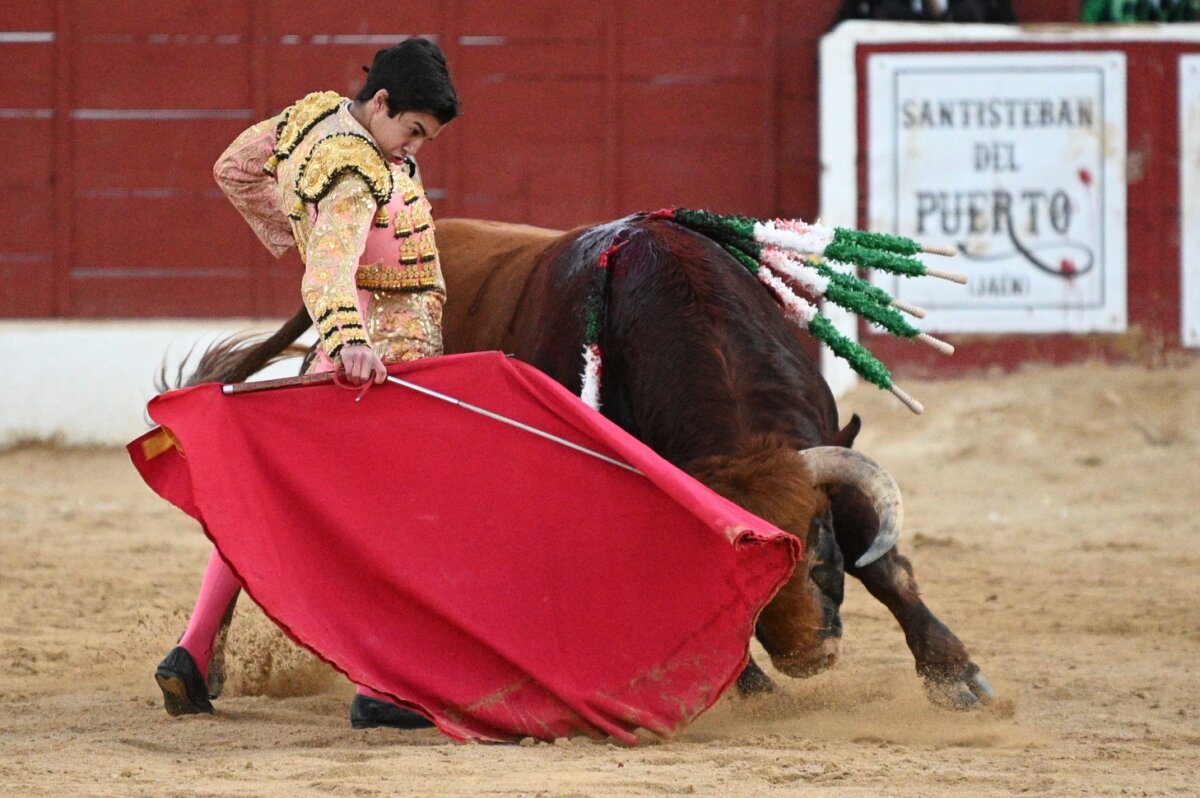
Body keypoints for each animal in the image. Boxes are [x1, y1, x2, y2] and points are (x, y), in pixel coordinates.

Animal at [183, 213, 994, 710]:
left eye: (819, 549)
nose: (805, 658)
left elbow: (886, 564)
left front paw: (959, 677)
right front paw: (747, 687)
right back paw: (199, 674)